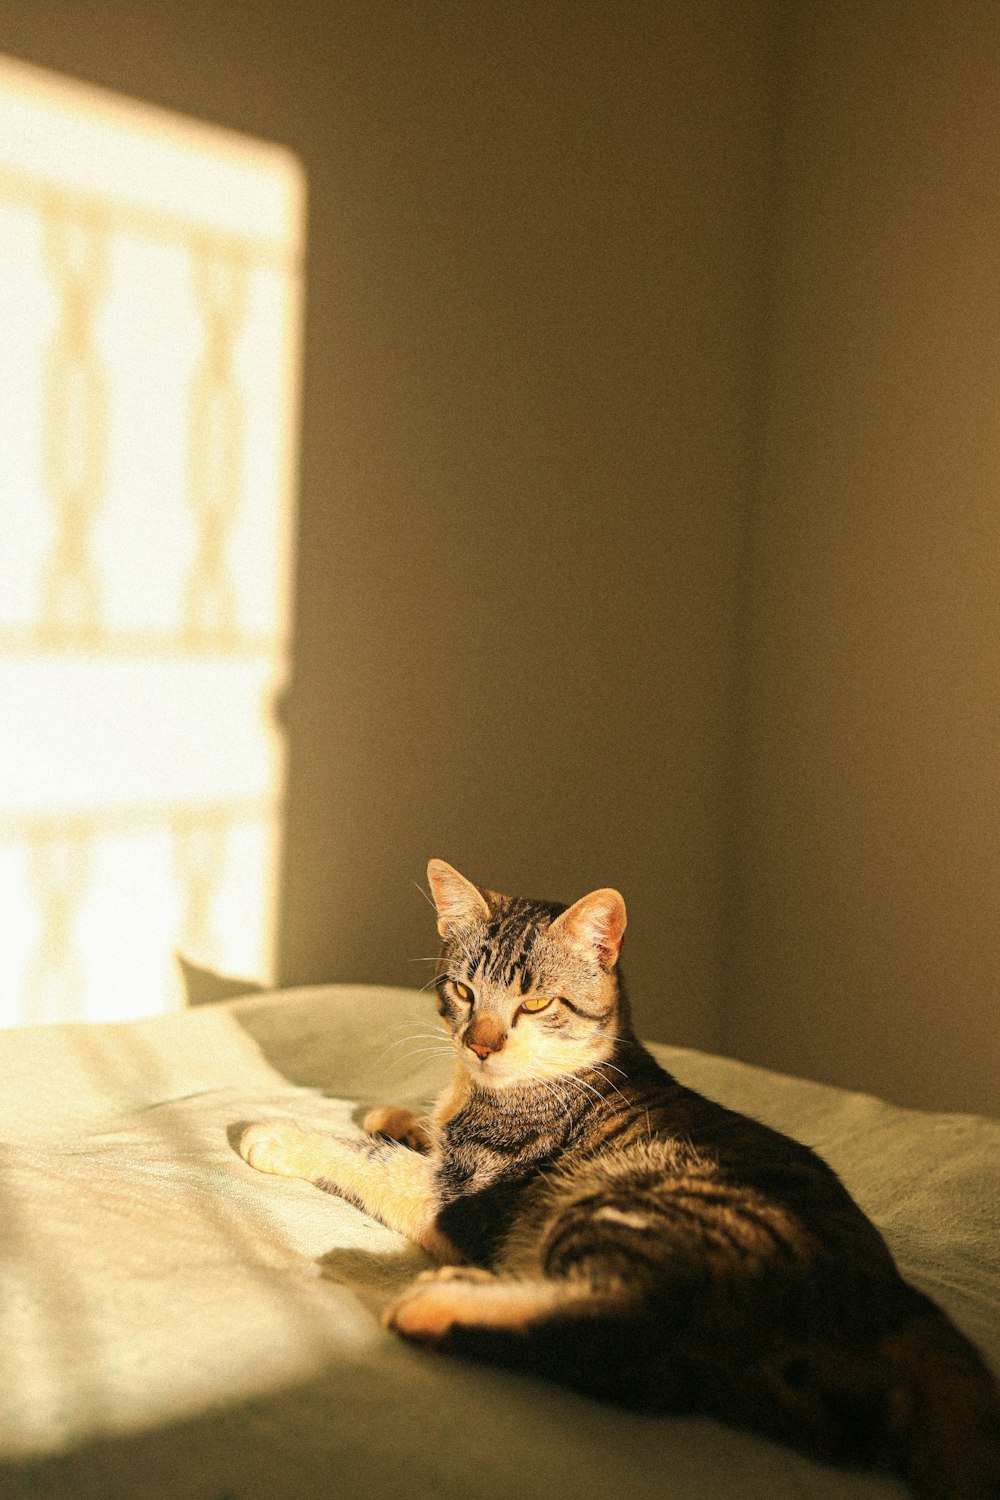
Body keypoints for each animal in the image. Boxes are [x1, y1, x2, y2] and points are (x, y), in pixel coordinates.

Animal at [239, 864, 1000, 1494]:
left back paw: (440, 1302)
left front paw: (282, 1135)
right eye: (461, 990)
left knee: (626, 1343)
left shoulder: (461, 1196)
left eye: (536, 1004)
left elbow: (374, 1162)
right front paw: (396, 1114)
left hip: (620, 1207)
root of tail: (894, 1300)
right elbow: (416, 1129)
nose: (479, 1044)